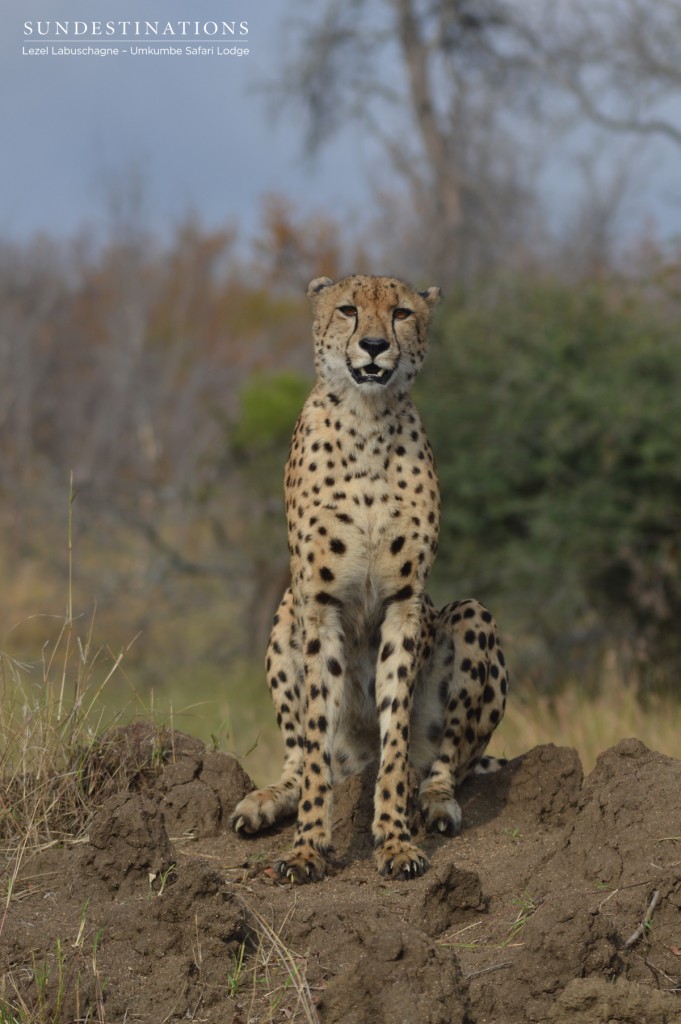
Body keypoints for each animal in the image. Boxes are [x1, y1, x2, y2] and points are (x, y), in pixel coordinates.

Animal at [231, 276, 507, 884]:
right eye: (348, 310)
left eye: (401, 313)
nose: (376, 345)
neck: (367, 420)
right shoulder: (320, 601)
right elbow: (314, 734)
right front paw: (308, 846)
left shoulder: (406, 602)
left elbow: (396, 727)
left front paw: (395, 839)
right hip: (284, 613)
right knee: (302, 755)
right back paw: (268, 800)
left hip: (472, 615)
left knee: (448, 761)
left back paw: (435, 802)